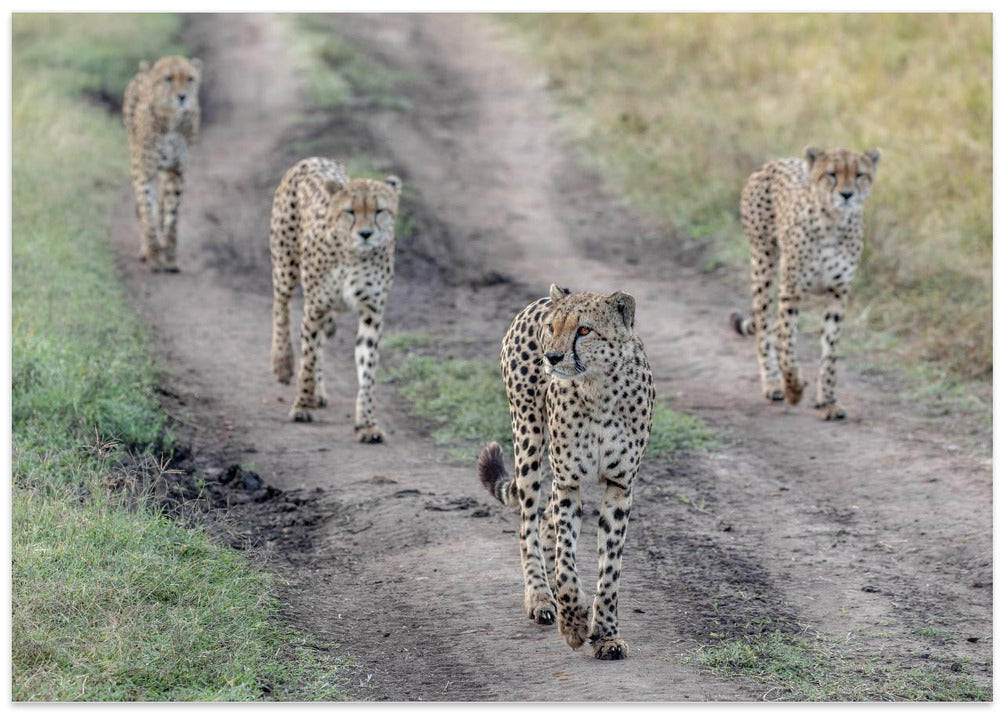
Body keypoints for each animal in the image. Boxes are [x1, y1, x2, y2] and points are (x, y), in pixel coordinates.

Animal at [123, 55, 202, 272]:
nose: (182, 97)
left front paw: (169, 254)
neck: (171, 121)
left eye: (190, 78)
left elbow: (171, 213)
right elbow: (147, 210)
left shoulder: (175, 170)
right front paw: (153, 252)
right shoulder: (145, 170)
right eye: (168, 78)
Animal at [269, 156, 402, 443]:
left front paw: (367, 424)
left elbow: (367, 368)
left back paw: (317, 393)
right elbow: (307, 360)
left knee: (319, 339)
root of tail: (313, 158)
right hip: (285, 265)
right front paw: (301, 407)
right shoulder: (315, 306)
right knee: (280, 306)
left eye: (379, 210)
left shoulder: (371, 313)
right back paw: (283, 363)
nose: (366, 234)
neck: (353, 254)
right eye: (350, 211)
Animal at [478, 284, 655, 660]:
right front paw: (573, 624)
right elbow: (566, 559)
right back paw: (541, 598)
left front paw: (606, 634)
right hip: (529, 438)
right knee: (528, 523)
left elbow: (610, 567)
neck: (599, 389)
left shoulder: (620, 486)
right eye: (552, 327)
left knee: (544, 520)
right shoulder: (569, 482)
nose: (553, 357)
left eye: (584, 330)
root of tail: (543, 298)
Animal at [731, 146, 880, 421]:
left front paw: (828, 402)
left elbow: (830, 353)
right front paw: (793, 390)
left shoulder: (838, 294)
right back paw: (773, 383)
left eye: (859, 174)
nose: (846, 194)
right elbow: (788, 346)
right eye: (831, 174)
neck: (833, 222)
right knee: (766, 325)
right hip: (763, 262)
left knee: (775, 327)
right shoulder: (791, 290)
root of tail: (773, 162)